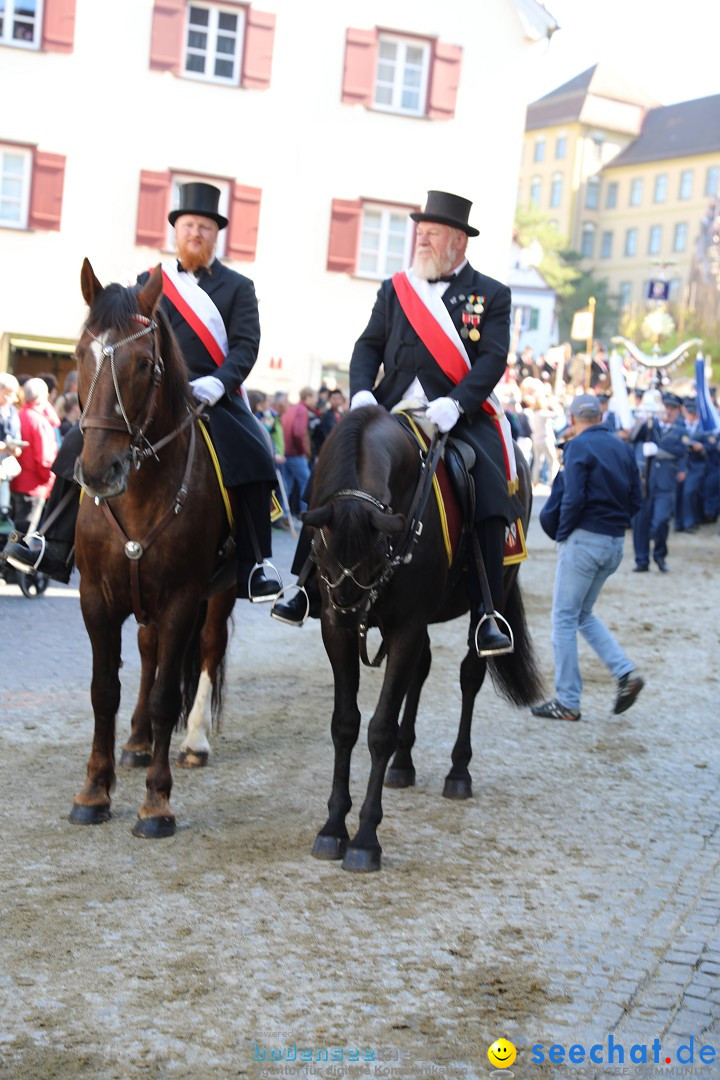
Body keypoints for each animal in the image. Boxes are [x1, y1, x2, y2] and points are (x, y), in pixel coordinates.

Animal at [70, 259, 235, 833]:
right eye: (79, 354)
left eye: (144, 364)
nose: (99, 471)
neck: (141, 490)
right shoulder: (96, 598)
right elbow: (104, 691)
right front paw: (94, 791)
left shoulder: (183, 598)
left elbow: (168, 695)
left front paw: (157, 802)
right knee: (147, 652)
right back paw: (139, 741)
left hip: (219, 593)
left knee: (206, 651)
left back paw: (194, 742)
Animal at [302, 406, 544, 868]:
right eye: (319, 551)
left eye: (376, 553)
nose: (351, 614)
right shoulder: (335, 631)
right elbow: (345, 724)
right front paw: (333, 827)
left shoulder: (406, 627)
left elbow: (379, 728)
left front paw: (365, 840)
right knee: (421, 671)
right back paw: (403, 764)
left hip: (491, 591)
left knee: (470, 675)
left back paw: (458, 771)